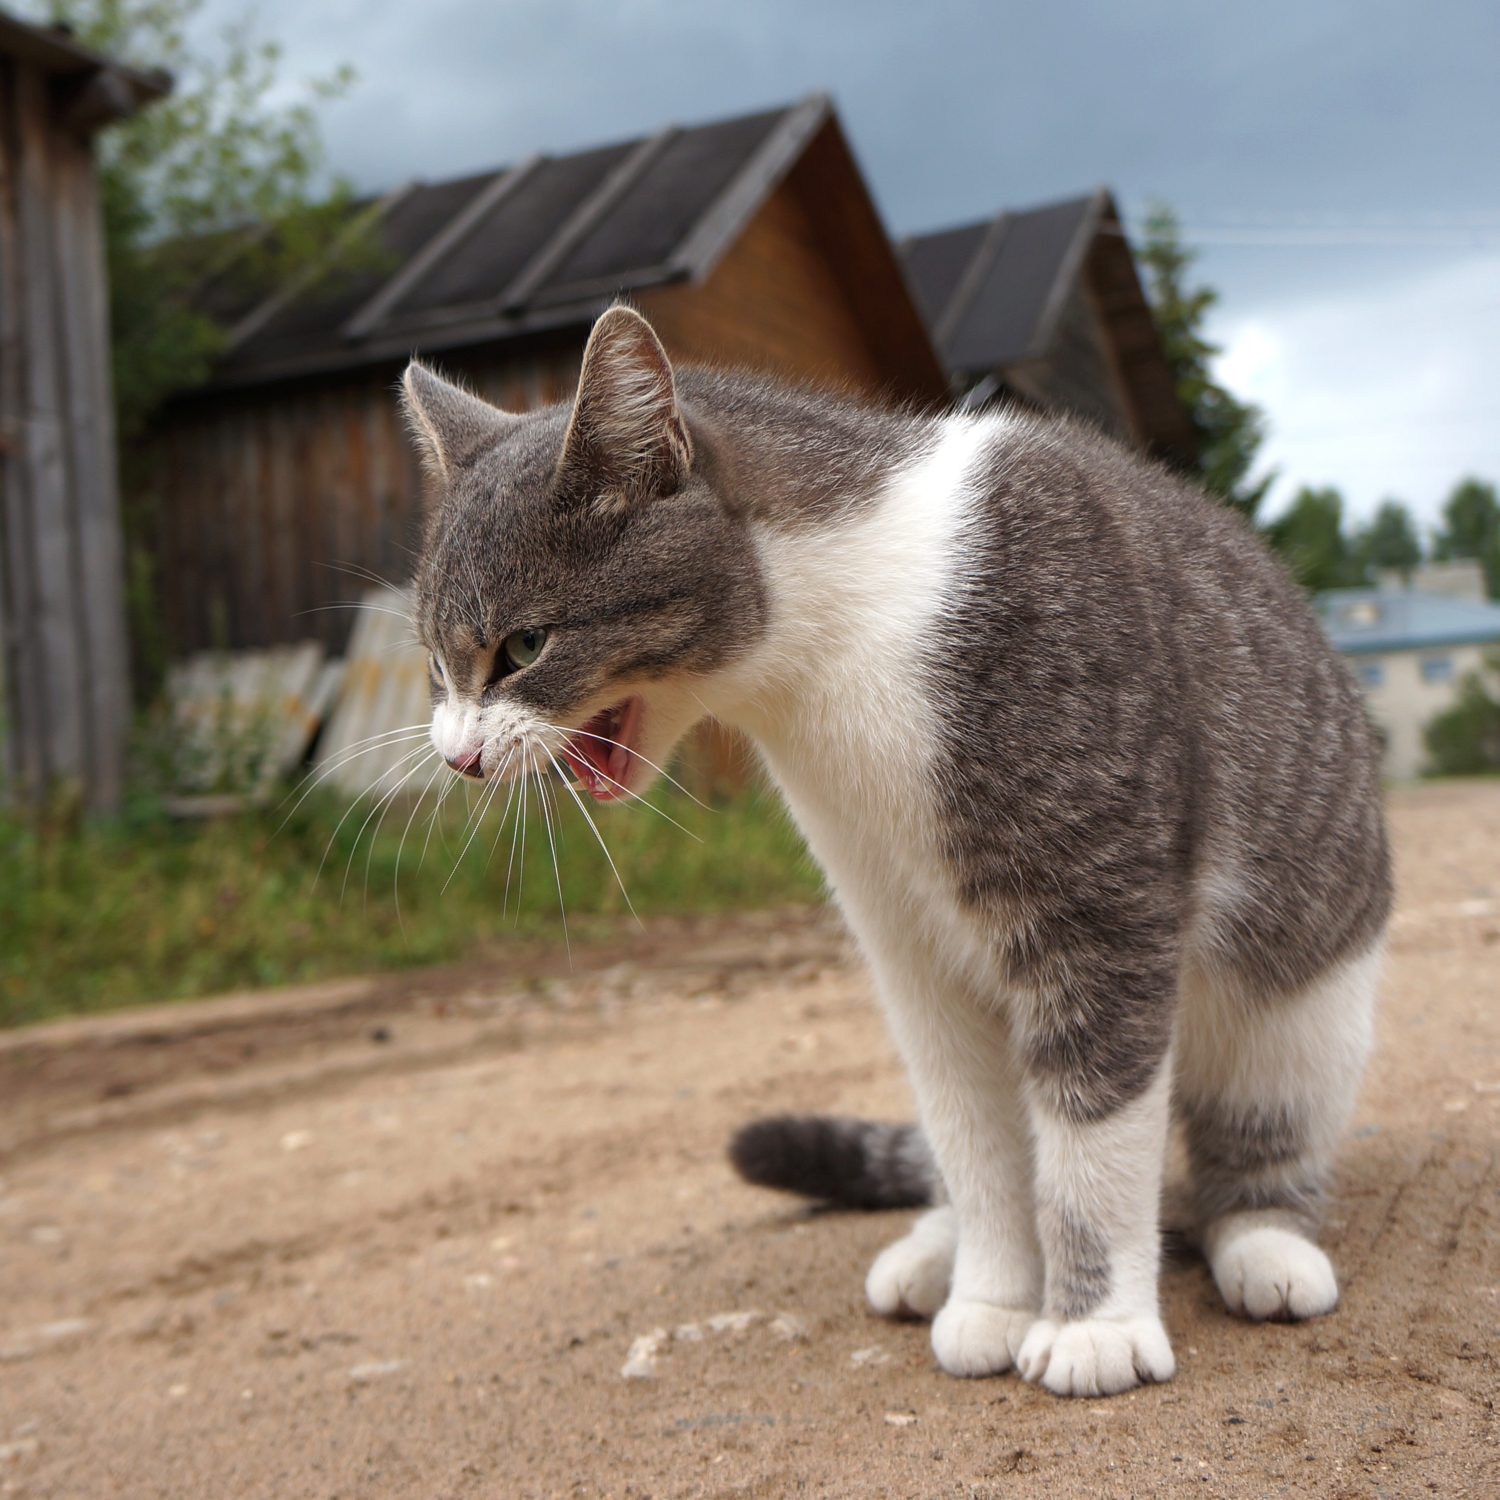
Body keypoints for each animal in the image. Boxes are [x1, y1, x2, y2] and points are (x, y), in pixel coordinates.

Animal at [405, 301, 1386, 1392]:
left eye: (523, 647)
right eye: (436, 664)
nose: (455, 756)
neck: (836, 647)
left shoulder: (1101, 910)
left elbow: (1089, 1146)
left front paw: (1091, 1325)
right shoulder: (906, 943)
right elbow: (978, 1144)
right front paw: (993, 1298)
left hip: (1300, 1015)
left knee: (1256, 1143)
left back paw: (1266, 1243)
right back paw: (934, 1247)